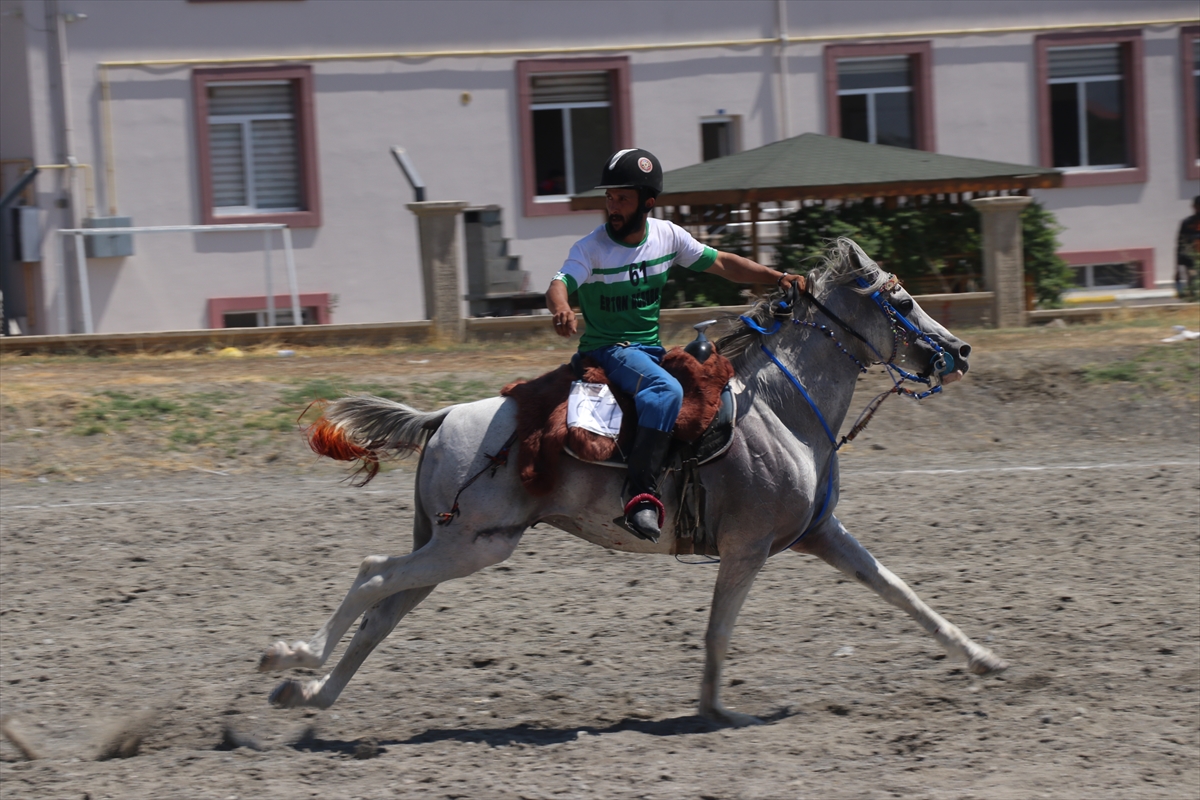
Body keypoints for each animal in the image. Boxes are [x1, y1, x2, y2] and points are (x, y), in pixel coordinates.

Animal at [260, 236, 1003, 724]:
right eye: (902, 299)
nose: (960, 350)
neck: (781, 409)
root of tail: (443, 418)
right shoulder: (747, 550)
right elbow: (719, 632)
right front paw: (717, 712)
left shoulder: (821, 533)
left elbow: (902, 592)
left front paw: (982, 658)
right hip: (474, 543)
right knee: (373, 575)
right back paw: (292, 657)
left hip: (451, 545)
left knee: (382, 612)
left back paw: (310, 693)